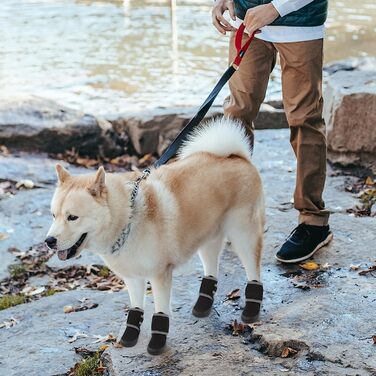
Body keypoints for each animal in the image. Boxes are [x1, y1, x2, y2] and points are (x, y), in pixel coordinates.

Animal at [45, 117, 264, 356]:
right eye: (54, 215)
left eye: (72, 217)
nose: (49, 241)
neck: (128, 219)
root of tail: (236, 156)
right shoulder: (132, 277)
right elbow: (135, 308)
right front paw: (129, 336)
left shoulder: (160, 275)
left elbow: (160, 312)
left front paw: (157, 343)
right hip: (207, 238)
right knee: (211, 269)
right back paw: (203, 305)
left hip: (243, 236)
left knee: (253, 272)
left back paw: (252, 309)